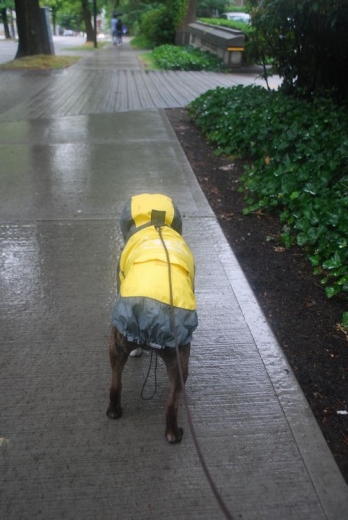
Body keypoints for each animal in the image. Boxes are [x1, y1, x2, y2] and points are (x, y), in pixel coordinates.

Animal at [106, 195, 198, 442]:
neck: (155, 222)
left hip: (121, 347)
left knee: (116, 384)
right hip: (178, 361)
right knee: (170, 403)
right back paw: (173, 434)